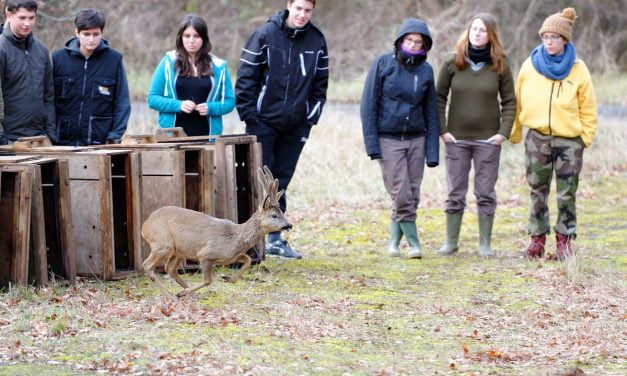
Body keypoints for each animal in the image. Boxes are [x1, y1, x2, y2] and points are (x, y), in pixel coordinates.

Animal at [140, 166, 292, 298]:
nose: (289, 225)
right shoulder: (205, 254)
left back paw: (188, 294)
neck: (235, 237)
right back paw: (172, 296)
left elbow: (248, 260)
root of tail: (144, 226)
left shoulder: (230, 257)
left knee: (170, 268)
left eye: (281, 213)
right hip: (163, 242)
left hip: (178, 250)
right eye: (274, 215)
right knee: (147, 265)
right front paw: (184, 292)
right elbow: (208, 280)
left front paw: (228, 278)